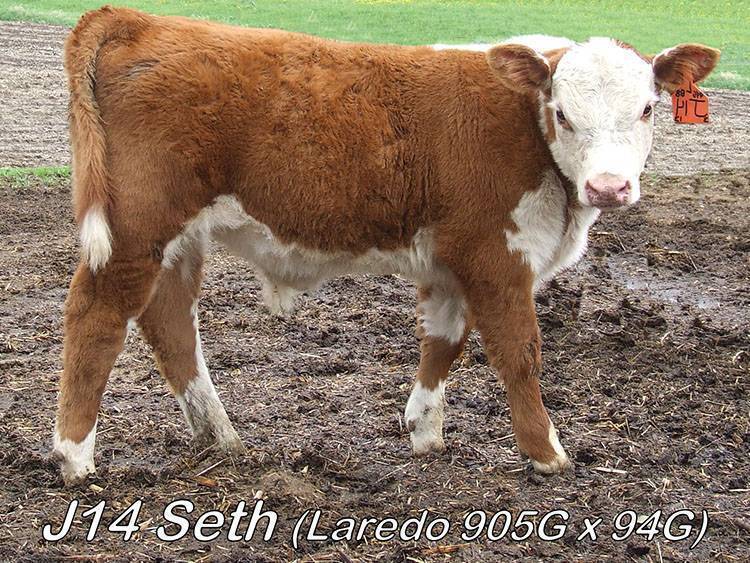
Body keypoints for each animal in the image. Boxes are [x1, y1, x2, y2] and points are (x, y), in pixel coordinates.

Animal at [52, 6, 719, 484]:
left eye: (648, 108)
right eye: (562, 112)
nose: (609, 187)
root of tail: (140, 19)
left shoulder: (452, 263)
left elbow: (444, 342)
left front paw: (424, 430)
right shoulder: (497, 257)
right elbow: (519, 351)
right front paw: (545, 451)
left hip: (177, 240)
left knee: (169, 325)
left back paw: (220, 436)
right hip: (135, 229)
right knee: (97, 316)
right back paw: (75, 456)